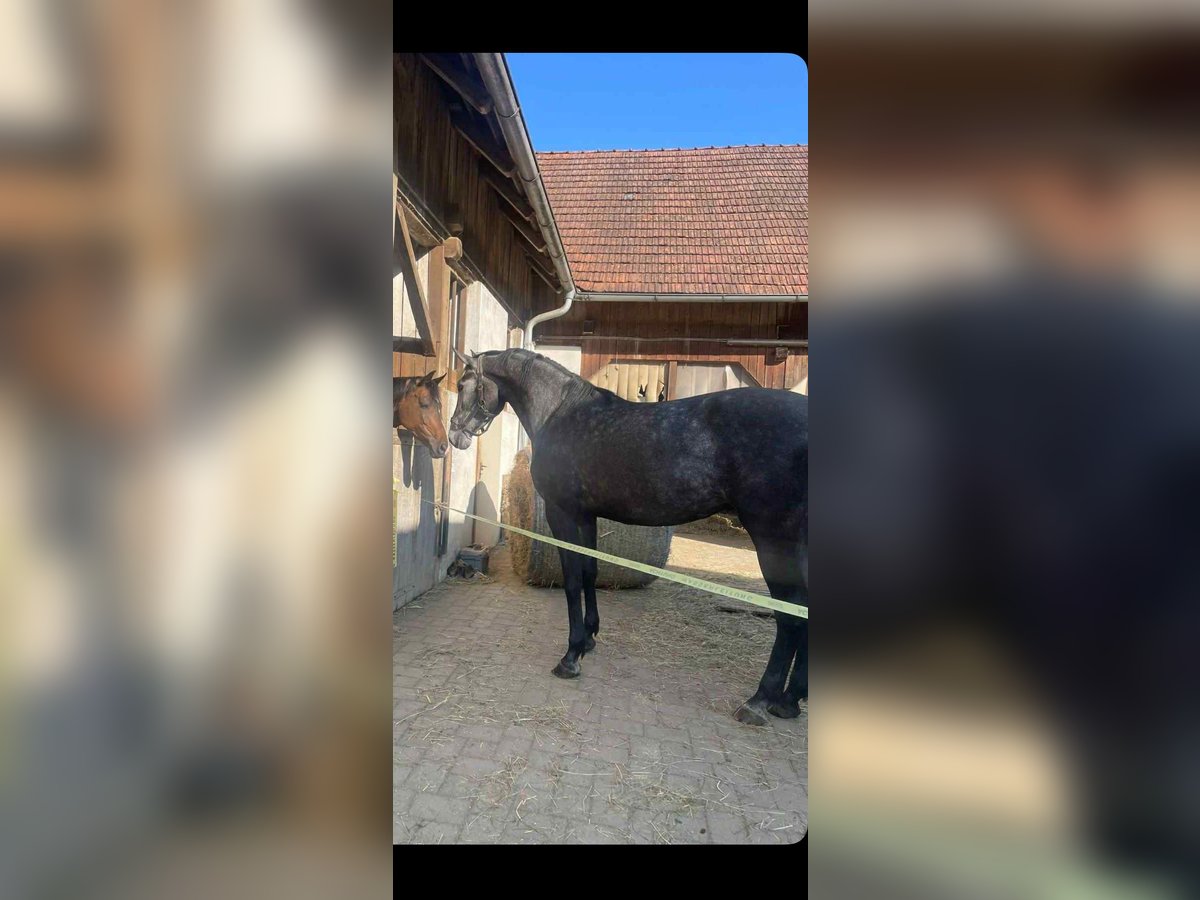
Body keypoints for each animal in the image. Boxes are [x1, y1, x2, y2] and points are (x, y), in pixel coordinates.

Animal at [448, 348, 807, 726]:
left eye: (462, 384)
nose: (454, 435)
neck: (559, 413)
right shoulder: (586, 516)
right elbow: (590, 572)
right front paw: (589, 638)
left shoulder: (563, 514)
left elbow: (572, 580)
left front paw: (571, 655)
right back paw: (789, 700)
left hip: (772, 538)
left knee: (790, 615)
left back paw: (760, 701)